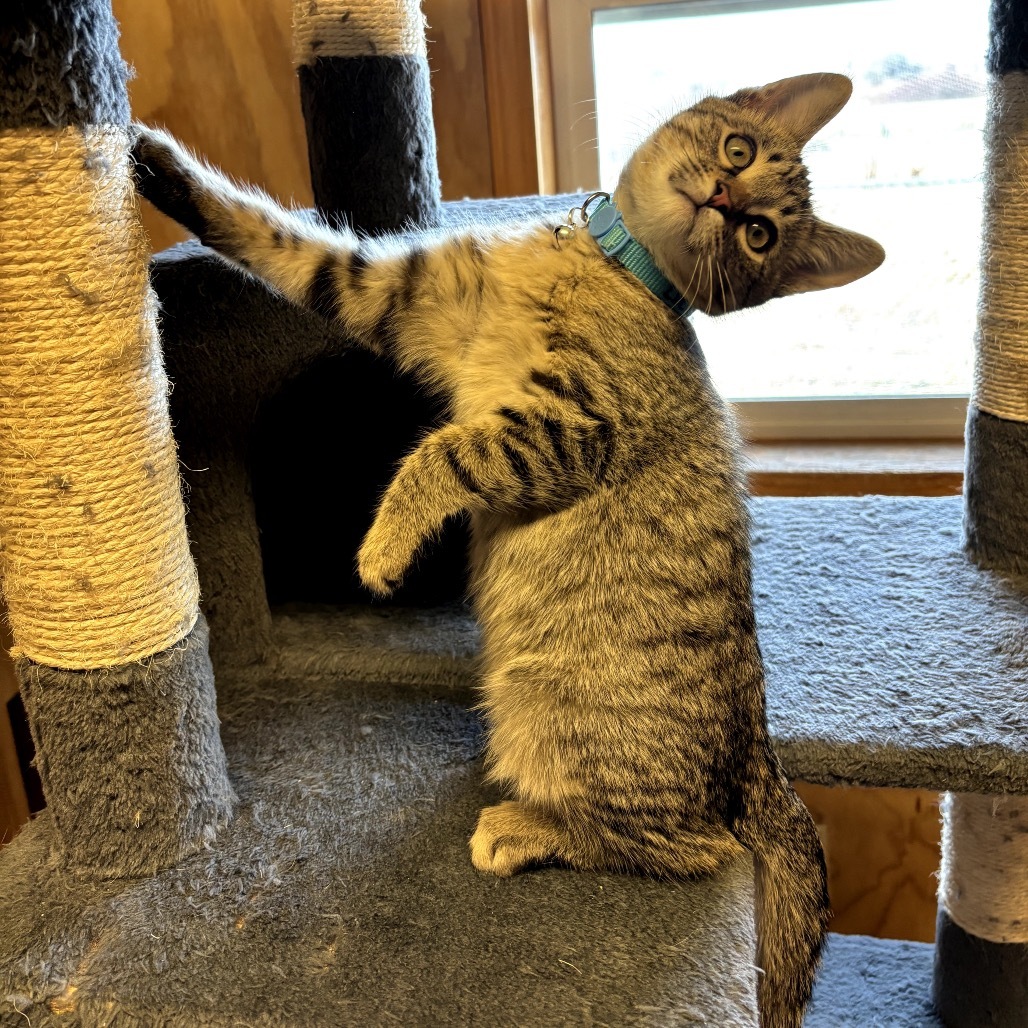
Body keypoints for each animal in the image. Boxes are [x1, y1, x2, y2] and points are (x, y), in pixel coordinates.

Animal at [130, 74, 884, 1028]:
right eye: (740, 151)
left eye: (761, 237)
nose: (724, 199)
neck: (597, 264)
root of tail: (760, 763)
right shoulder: (393, 292)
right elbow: (278, 241)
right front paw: (155, 164)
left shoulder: (573, 429)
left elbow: (446, 451)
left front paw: (383, 545)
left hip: (559, 717)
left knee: (688, 849)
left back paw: (528, 828)